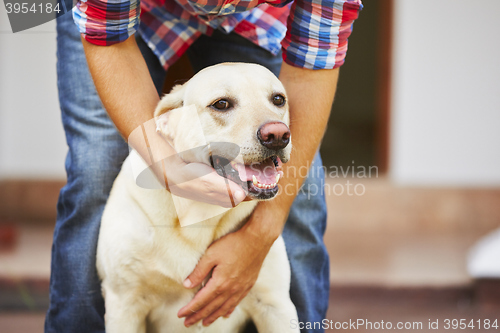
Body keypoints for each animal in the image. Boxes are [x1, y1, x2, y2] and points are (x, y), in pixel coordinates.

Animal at [99, 63, 298, 332]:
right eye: (221, 104)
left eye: (278, 99)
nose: (277, 135)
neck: (202, 215)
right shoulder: (124, 304)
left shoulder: (275, 304)